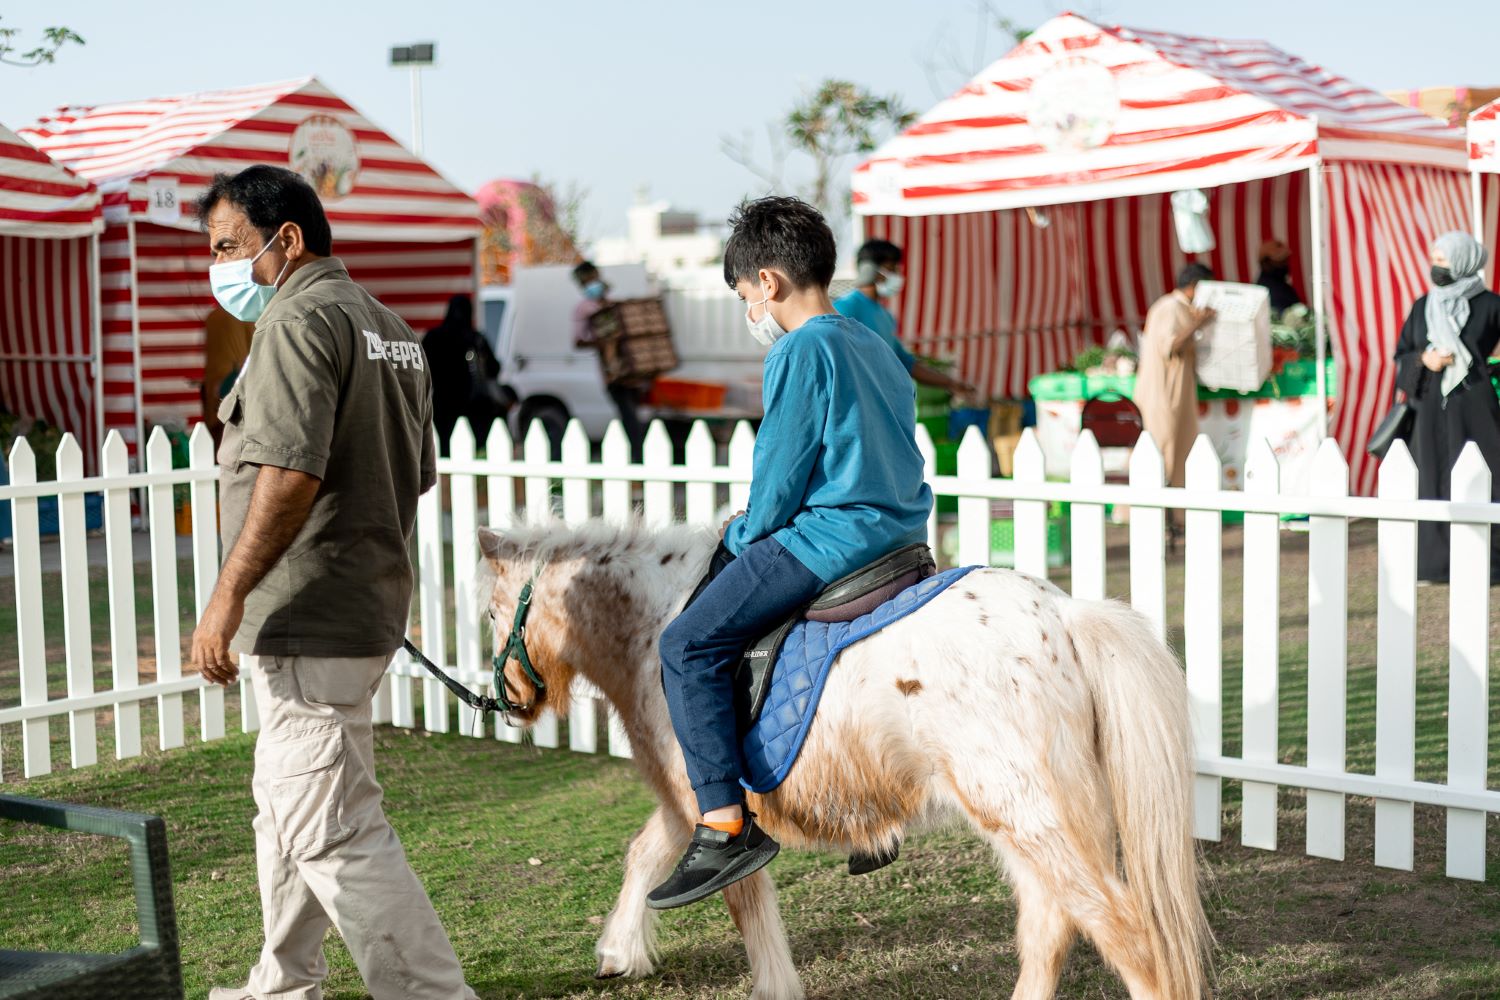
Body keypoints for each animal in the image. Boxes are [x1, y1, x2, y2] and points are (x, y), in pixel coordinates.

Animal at [480, 521, 1218, 995]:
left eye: (489, 612)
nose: (508, 697)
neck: (655, 623)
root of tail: (1067, 618)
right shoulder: (695, 800)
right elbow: (646, 854)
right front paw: (618, 952)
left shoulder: (714, 806)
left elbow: (746, 910)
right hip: (1027, 822)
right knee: (1050, 927)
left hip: (1031, 817)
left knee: (1126, 935)